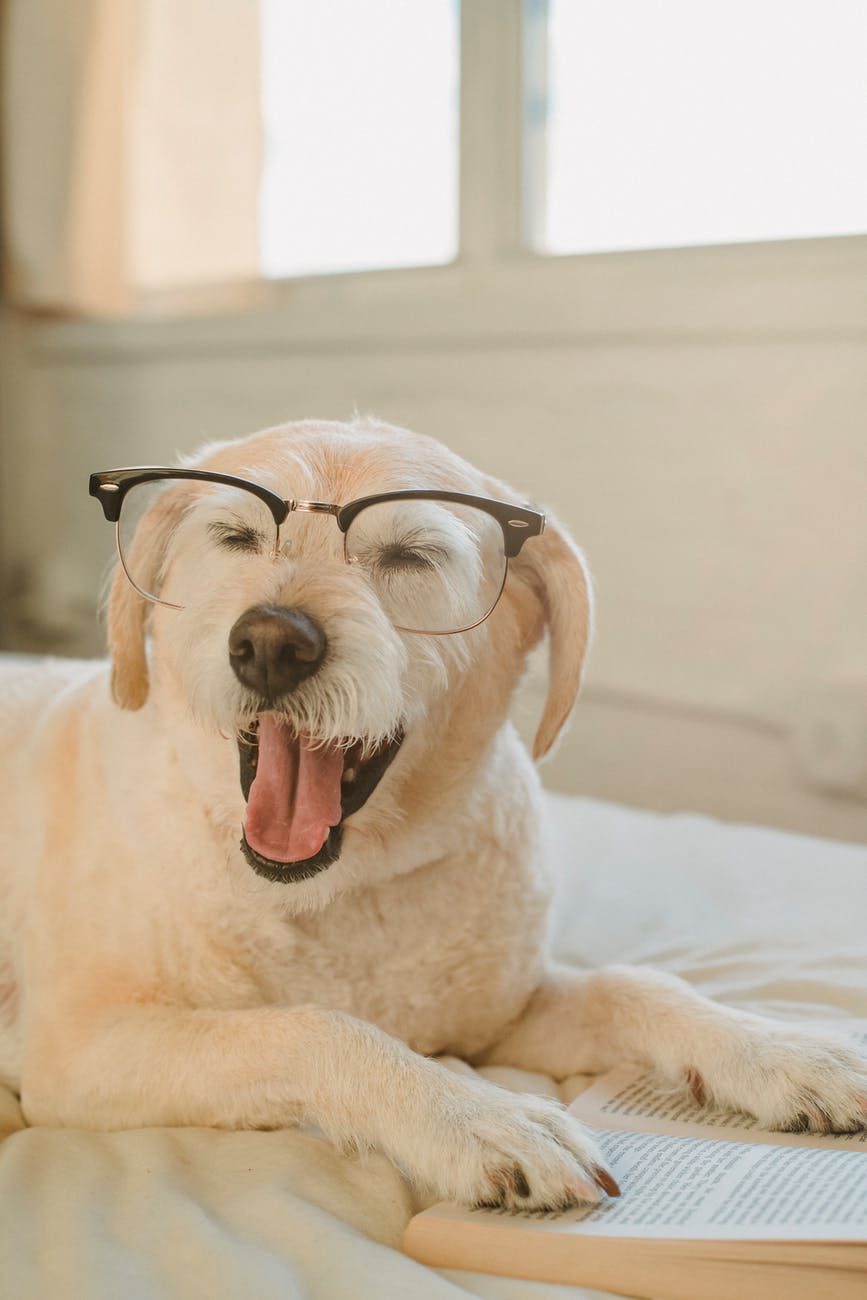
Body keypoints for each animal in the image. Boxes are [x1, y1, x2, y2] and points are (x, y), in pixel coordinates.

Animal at [1, 418, 867, 1206]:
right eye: (236, 535)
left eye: (410, 556)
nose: (271, 643)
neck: (347, 890)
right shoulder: (76, 1050)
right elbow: (316, 1026)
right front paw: (476, 1117)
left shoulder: (502, 1021)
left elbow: (633, 986)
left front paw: (782, 1052)